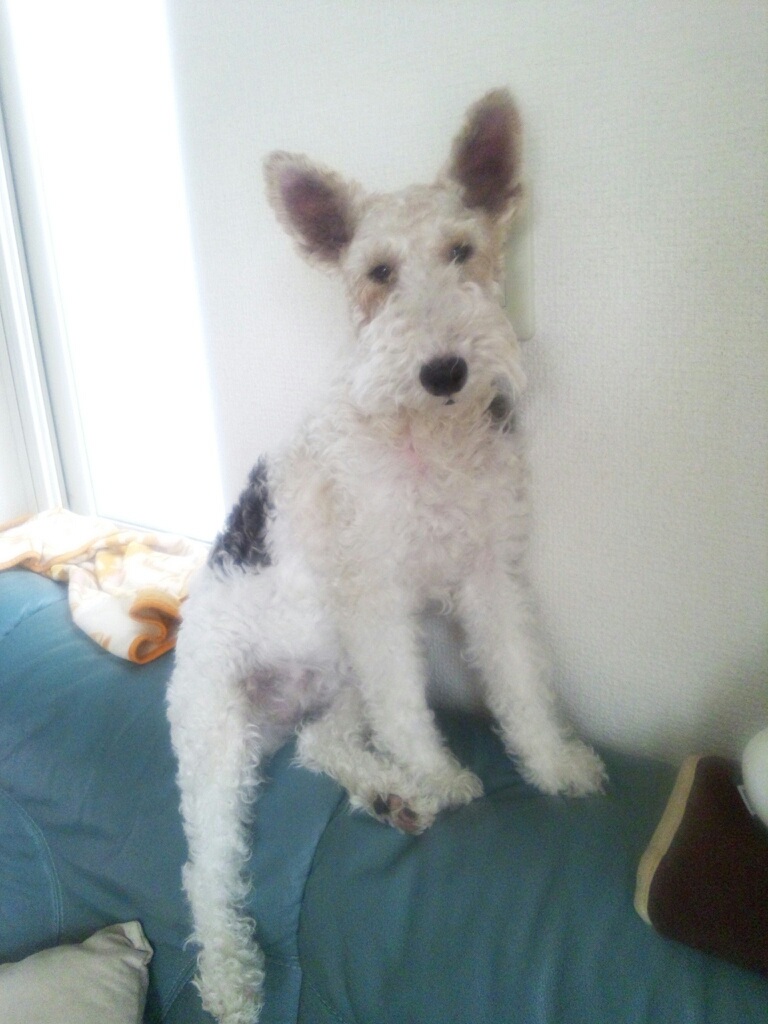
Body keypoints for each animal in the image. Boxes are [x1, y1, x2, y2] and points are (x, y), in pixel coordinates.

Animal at [167, 88, 606, 1024]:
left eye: (463, 250)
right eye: (375, 271)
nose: (444, 370)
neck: (427, 437)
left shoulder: (489, 573)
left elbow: (520, 683)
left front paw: (552, 766)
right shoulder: (377, 594)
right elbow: (411, 708)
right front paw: (444, 777)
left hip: (333, 684)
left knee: (319, 748)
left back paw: (386, 791)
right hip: (217, 731)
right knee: (206, 871)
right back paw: (231, 978)